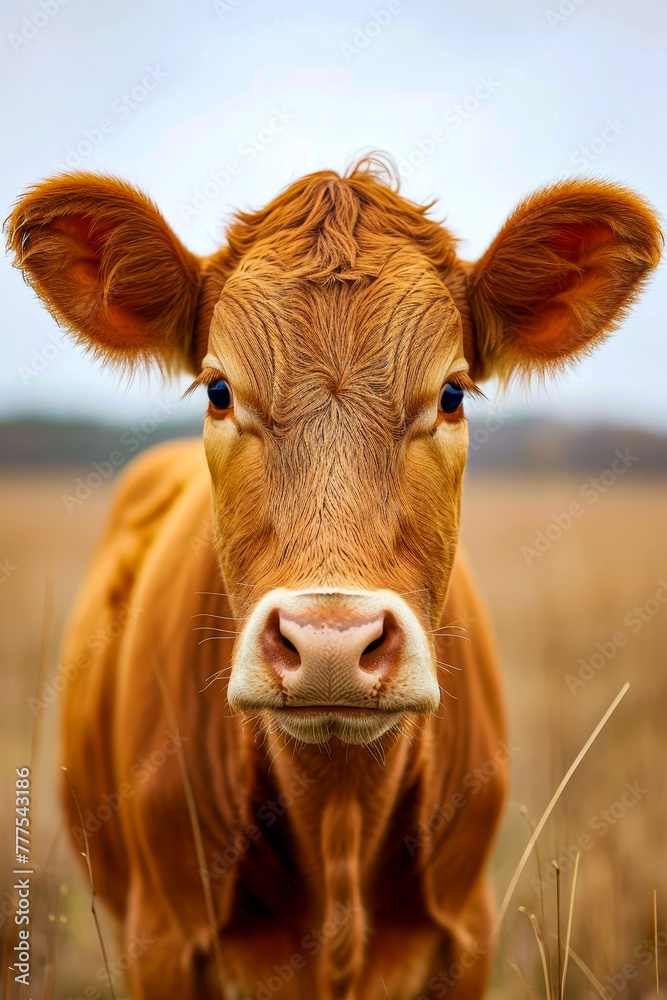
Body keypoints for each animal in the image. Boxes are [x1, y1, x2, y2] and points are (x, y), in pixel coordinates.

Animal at [9, 160, 664, 996]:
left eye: (450, 394)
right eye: (219, 391)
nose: (330, 645)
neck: (340, 816)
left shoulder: (467, 929)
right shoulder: (159, 937)